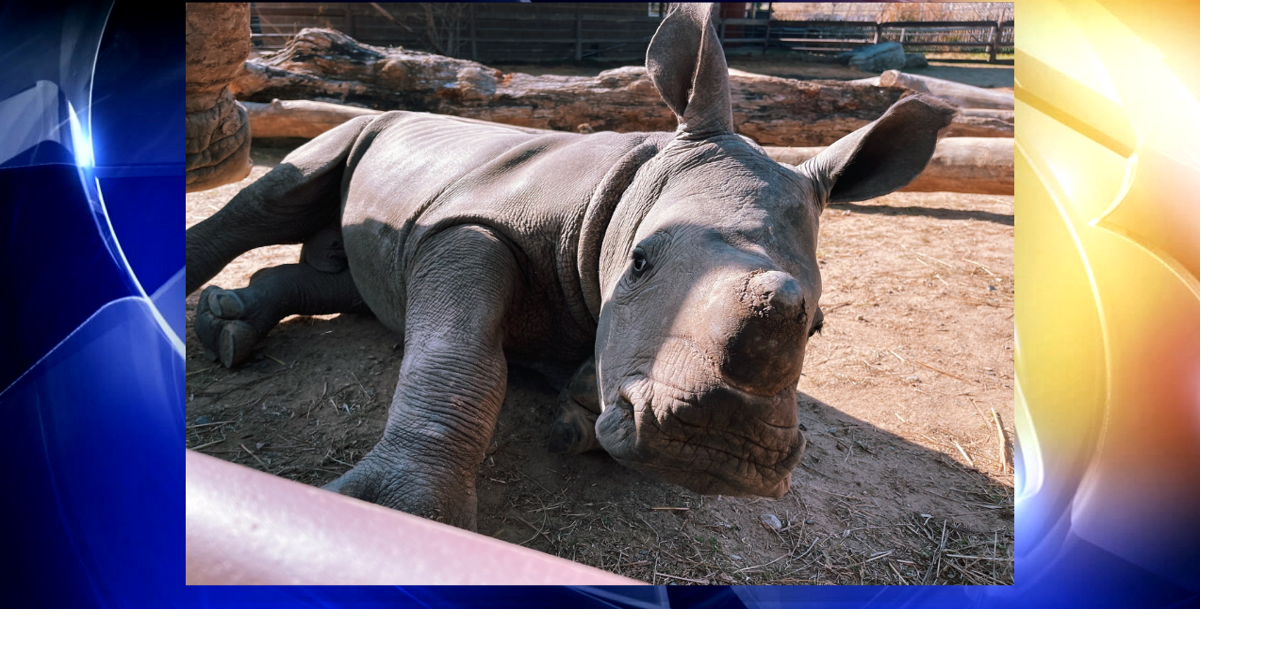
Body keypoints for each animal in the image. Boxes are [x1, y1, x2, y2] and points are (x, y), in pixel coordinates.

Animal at [185, 4, 954, 530]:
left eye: (818, 327)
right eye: (639, 263)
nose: (718, 452)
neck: (627, 199)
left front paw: (575, 419)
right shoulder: (470, 225)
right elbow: (459, 354)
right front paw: (398, 518)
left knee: (357, 280)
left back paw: (227, 328)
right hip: (361, 123)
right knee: (275, 198)